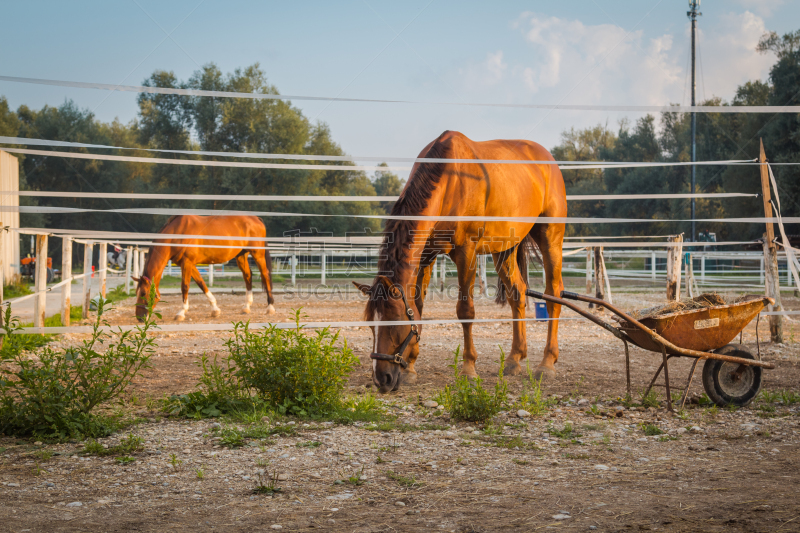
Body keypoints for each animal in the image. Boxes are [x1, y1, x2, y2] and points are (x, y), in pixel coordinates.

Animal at [134, 213, 276, 320]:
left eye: (144, 293)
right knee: (248, 276)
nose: (139, 318)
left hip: (258, 254)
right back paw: (246, 307)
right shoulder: (190, 264)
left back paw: (270, 307)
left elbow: (185, 286)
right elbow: (201, 284)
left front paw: (181, 312)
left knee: (265, 274)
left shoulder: (187, 263)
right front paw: (215, 309)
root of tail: (256, 219)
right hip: (241, 255)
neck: (178, 232)